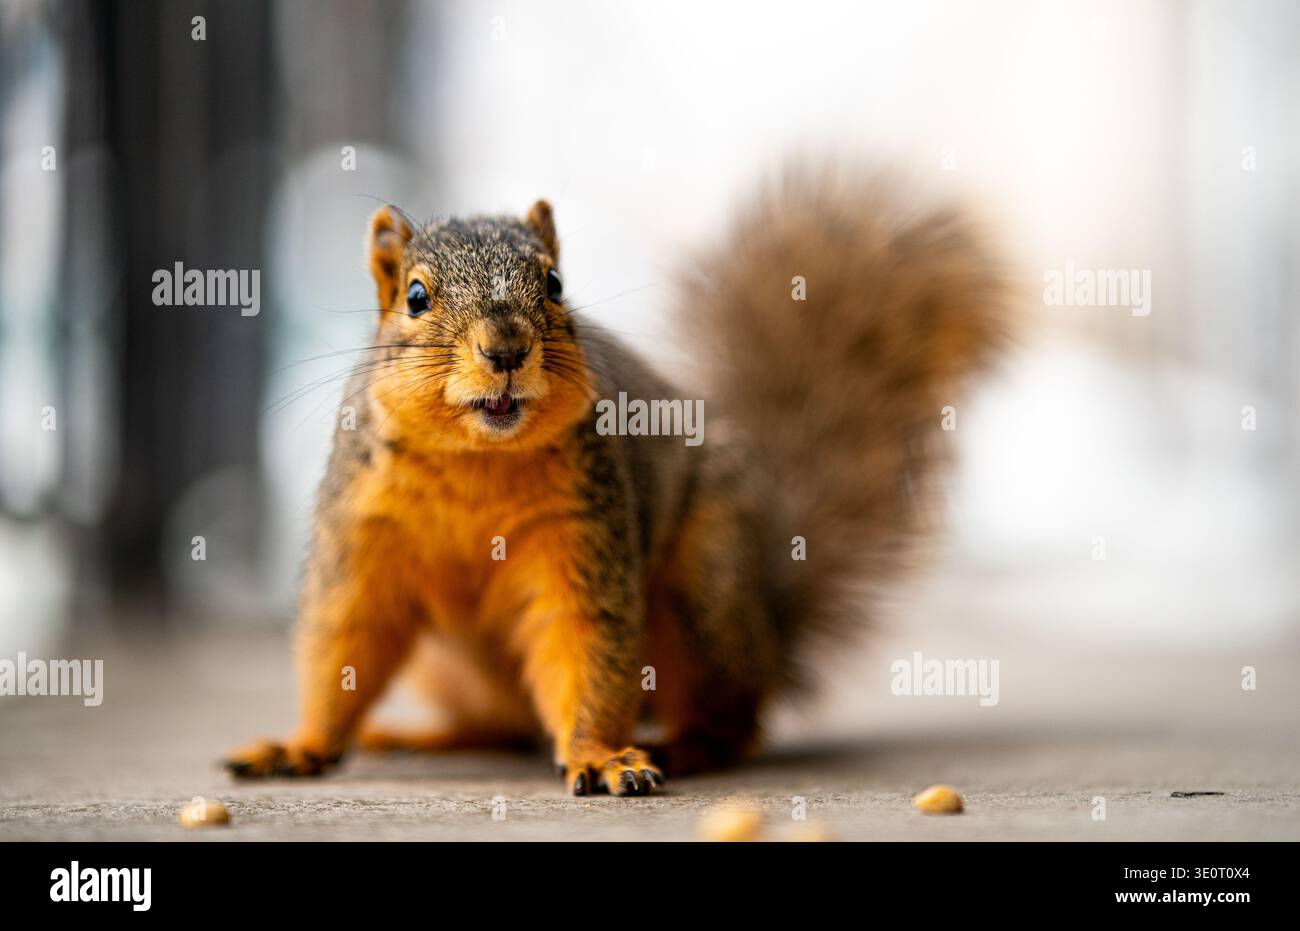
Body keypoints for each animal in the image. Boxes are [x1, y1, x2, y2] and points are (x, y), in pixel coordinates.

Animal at [223, 165, 1005, 796]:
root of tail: (769, 631)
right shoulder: (362, 535)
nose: (506, 348)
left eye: (555, 284)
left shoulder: (584, 529)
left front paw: (601, 756)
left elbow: (585, 640)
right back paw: (420, 735)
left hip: (703, 591)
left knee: (735, 719)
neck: (476, 459)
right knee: (505, 724)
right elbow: (345, 638)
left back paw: (681, 745)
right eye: (415, 296)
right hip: (449, 666)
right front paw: (301, 745)